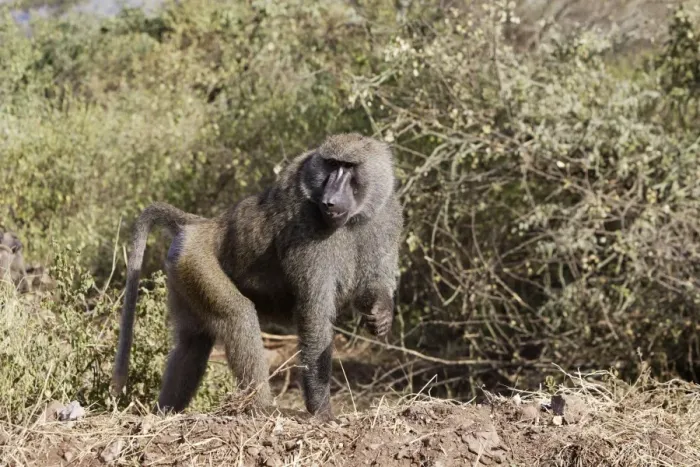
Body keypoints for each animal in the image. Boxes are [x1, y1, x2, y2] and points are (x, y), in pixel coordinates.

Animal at [112, 133, 403, 421]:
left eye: (348, 167)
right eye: (331, 164)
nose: (330, 200)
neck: (354, 219)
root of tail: (202, 225)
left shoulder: (387, 217)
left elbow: (373, 284)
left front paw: (381, 314)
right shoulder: (307, 230)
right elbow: (314, 315)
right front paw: (322, 411)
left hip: (182, 270)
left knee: (193, 343)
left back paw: (165, 413)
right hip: (195, 261)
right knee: (237, 315)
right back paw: (261, 407)